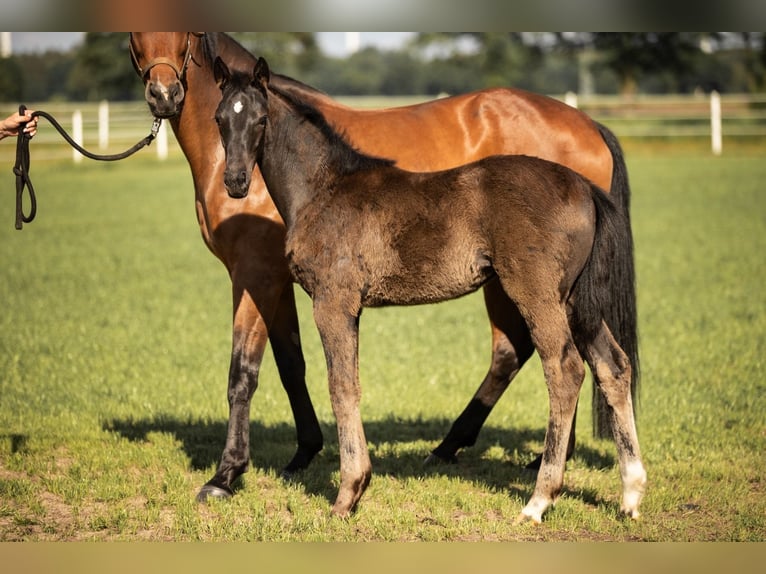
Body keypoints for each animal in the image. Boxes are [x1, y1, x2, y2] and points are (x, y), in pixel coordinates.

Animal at [129, 35, 640, 504]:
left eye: (259, 119)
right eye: (219, 119)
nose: (235, 182)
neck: (324, 186)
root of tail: (584, 186)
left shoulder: (316, 296)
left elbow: (331, 385)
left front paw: (343, 490)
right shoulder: (306, 293)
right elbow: (306, 369)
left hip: (533, 294)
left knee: (561, 366)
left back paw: (538, 494)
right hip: (575, 302)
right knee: (611, 365)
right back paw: (629, 493)